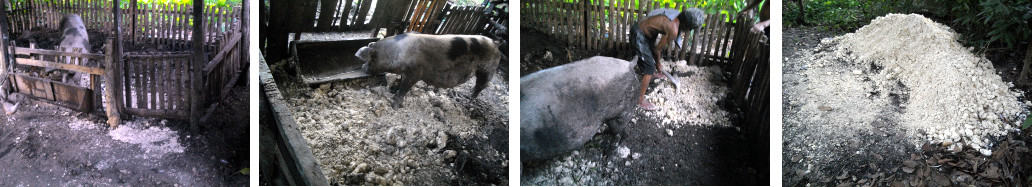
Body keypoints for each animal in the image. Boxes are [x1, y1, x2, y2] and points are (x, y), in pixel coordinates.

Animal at [355, 32, 499, 107]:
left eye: (370, 59)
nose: (362, 67)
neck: (398, 53)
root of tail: (495, 43)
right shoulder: (405, 73)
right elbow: (400, 83)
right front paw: (392, 91)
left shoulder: (415, 73)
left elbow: (403, 89)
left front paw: (394, 105)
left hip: (487, 69)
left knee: (482, 85)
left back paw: (470, 99)